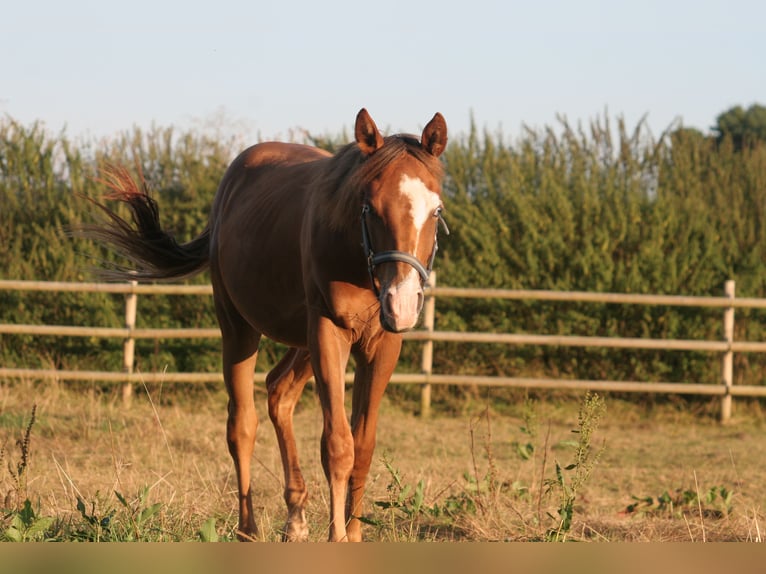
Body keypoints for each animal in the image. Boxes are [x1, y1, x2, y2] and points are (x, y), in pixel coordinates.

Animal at [85, 109, 450, 544]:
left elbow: (363, 446)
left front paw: (353, 534)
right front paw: (337, 538)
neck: (354, 256)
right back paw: (249, 530)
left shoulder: (381, 345)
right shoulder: (328, 333)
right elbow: (337, 445)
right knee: (242, 425)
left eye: (436, 211)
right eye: (371, 207)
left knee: (279, 392)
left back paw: (295, 517)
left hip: (302, 341)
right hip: (239, 327)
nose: (401, 302)